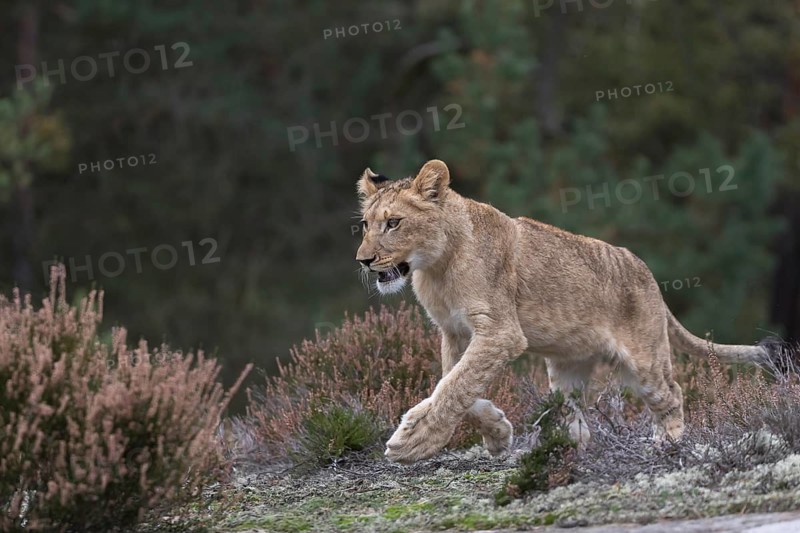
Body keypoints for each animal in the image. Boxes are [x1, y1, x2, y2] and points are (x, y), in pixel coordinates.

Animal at [355, 159, 795, 464]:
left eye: (394, 223)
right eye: (365, 224)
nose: (364, 261)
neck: (437, 267)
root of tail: (647, 274)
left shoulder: (501, 332)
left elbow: (455, 387)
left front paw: (413, 442)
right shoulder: (456, 332)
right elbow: (456, 385)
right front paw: (497, 433)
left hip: (645, 361)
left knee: (672, 393)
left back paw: (666, 444)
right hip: (567, 367)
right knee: (576, 413)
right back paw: (568, 448)